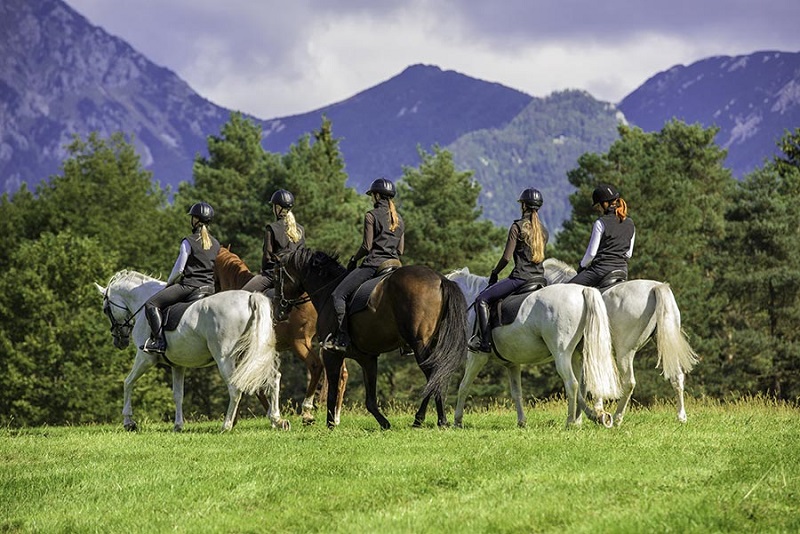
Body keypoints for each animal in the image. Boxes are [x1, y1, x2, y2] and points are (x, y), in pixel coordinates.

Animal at [95, 270, 288, 434]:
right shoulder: (177, 365)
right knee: (274, 379)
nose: (119, 341)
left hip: (225, 358)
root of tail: (249, 297)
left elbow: (127, 383)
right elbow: (178, 395)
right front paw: (178, 426)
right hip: (253, 355)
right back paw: (277, 420)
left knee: (235, 388)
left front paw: (129, 422)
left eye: (105, 310)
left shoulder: (145, 358)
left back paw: (226, 426)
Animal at [214, 247, 348, 428]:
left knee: (316, 366)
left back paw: (307, 411)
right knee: (341, 374)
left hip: (300, 343)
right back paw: (336, 415)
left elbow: (251, 383)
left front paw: (271, 417)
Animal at [276, 250, 468, 432]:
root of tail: (440, 279)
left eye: (278, 277)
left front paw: (330, 424)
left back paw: (432, 419)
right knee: (436, 376)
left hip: (420, 345)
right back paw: (426, 420)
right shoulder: (367, 358)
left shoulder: (332, 354)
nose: (280, 311)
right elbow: (370, 399)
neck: (327, 290)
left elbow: (332, 392)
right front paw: (384, 423)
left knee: (433, 376)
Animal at [446, 268, 620, 432]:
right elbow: (517, 392)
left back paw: (571, 421)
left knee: (572, 384)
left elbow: (464, 386)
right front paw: (521, 422)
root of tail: (582, 290)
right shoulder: (512, 364)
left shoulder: (477, 356)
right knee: (584, 385)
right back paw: (584, 419)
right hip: (577, 355)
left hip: (562, 354)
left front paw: (457, 420)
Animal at [544, 260, 700, 428]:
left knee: (629, 383)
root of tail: (655, 287)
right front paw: (593, 414)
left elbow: (585, 384)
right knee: (677, 377)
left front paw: (589, 416)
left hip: (624, 352)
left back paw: (617, 418)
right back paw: (681, 417)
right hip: (665, 342)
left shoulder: (578, 355)